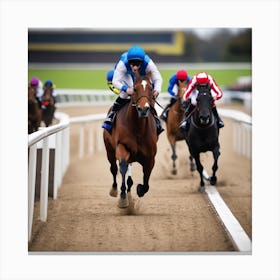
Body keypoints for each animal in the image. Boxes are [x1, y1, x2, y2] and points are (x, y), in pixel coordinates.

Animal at [103, 71, 160, 208]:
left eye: (151, 88)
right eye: (134, 88)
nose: (143, 109)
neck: (138, 129)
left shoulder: (150, 157)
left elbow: (146, 181)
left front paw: (139, 189)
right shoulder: (122, 147)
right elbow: (122, 166)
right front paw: (123, 197)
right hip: (109, 149)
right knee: (114, 168)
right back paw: (115, 190)